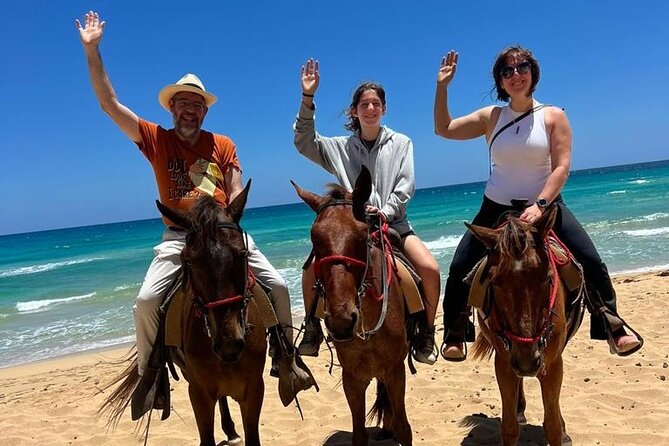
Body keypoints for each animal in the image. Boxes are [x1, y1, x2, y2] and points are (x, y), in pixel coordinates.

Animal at [294, 167, 412, 446]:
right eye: (314, 238)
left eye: (361, 236)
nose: (341, 320)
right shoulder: (352, 378)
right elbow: (358, 435)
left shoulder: (396, 370)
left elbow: (405, 429)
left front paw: (396, 428)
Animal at [468, 206, 572, 446]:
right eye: (494, 282)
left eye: (547, 277)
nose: (527, 362)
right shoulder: (505, 363)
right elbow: (509, 428)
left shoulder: (552, 363)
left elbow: (552, 426)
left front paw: (561, 431)